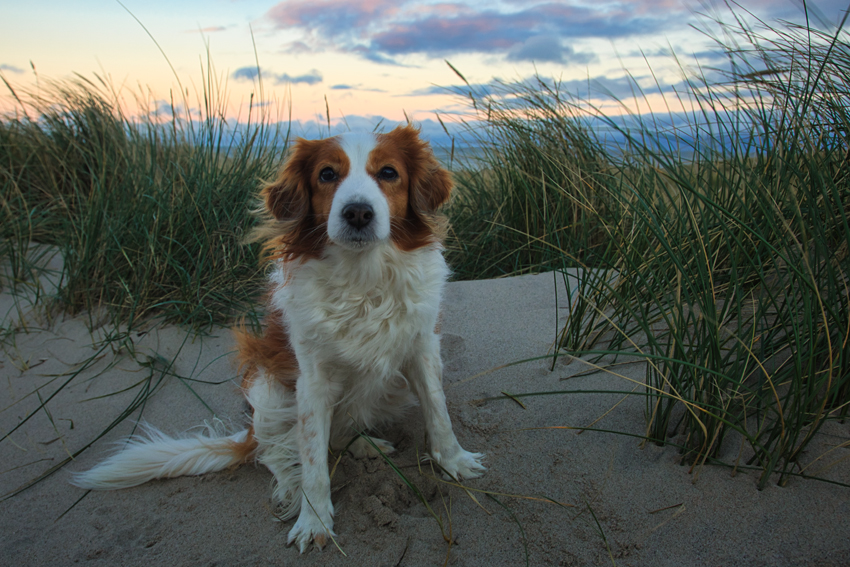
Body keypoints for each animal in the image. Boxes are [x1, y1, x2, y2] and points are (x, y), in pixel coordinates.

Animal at [71, 125, 484, 556]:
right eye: (326, 174)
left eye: (388, 172)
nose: (357, 212)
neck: (362, 280)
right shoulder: (312, 380)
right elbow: (313, 460)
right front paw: (313, 519)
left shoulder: (422, 348)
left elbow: (438, 412)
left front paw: (454, 461)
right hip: (267, 388)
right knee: (276, 451)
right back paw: (294, 480)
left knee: (339, 433)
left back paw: (364, 445)